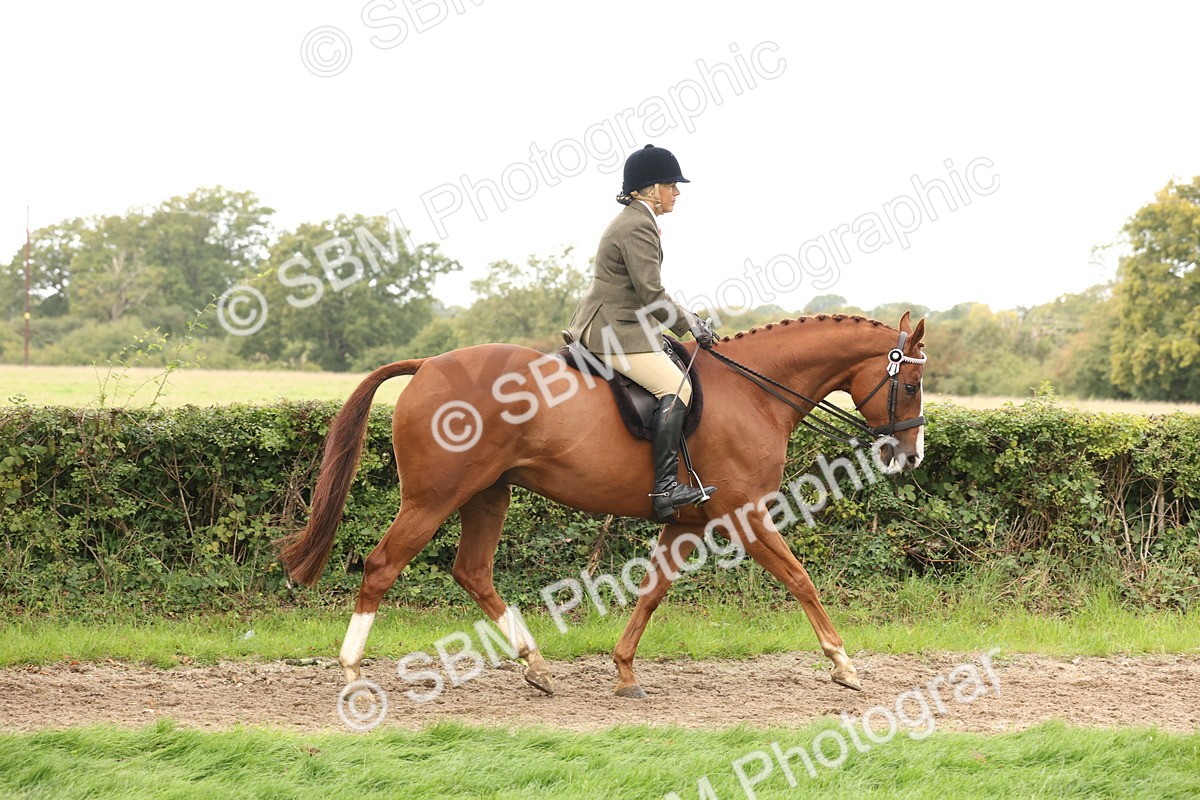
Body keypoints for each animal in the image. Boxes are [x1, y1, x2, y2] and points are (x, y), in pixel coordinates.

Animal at [278, 311, 927, 698]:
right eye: (914, 384)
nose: (911, 456)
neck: (755, 392)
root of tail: (428, 366)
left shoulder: (686, 522)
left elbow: (653, 591)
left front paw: (624, 670)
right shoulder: (745, 515)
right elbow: (799, 579)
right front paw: (842, 664)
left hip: (488, 495)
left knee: (472, 572)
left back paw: (536, 665)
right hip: (433, 498)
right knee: (383, 565)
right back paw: (352, 671)